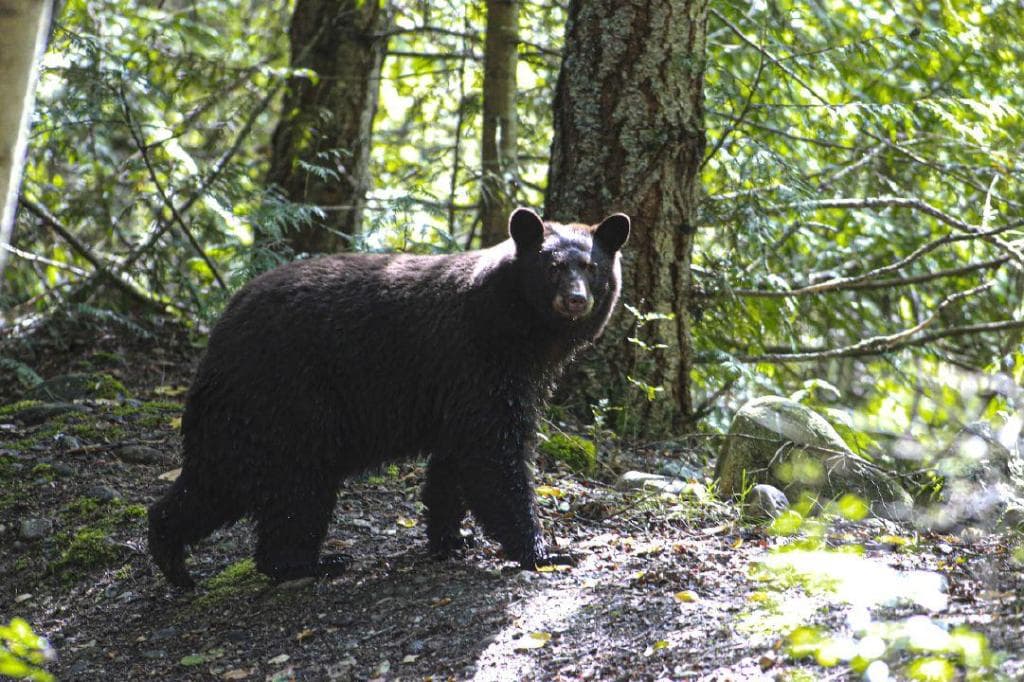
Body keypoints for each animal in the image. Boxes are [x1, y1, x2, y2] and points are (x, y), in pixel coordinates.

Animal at [148, 207, 629, 587]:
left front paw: (451, 539)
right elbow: (493, 453)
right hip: (290, 400)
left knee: (215, 480)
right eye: (552, 266)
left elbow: (453, 461)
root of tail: (220, 333)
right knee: (297, 488)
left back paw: (171, 555)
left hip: (244, 413)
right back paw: (309, 563)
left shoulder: (466, 386)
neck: (518, 328)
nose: (575, 299)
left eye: (591, 267)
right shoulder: (477, 361)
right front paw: (544, 550)